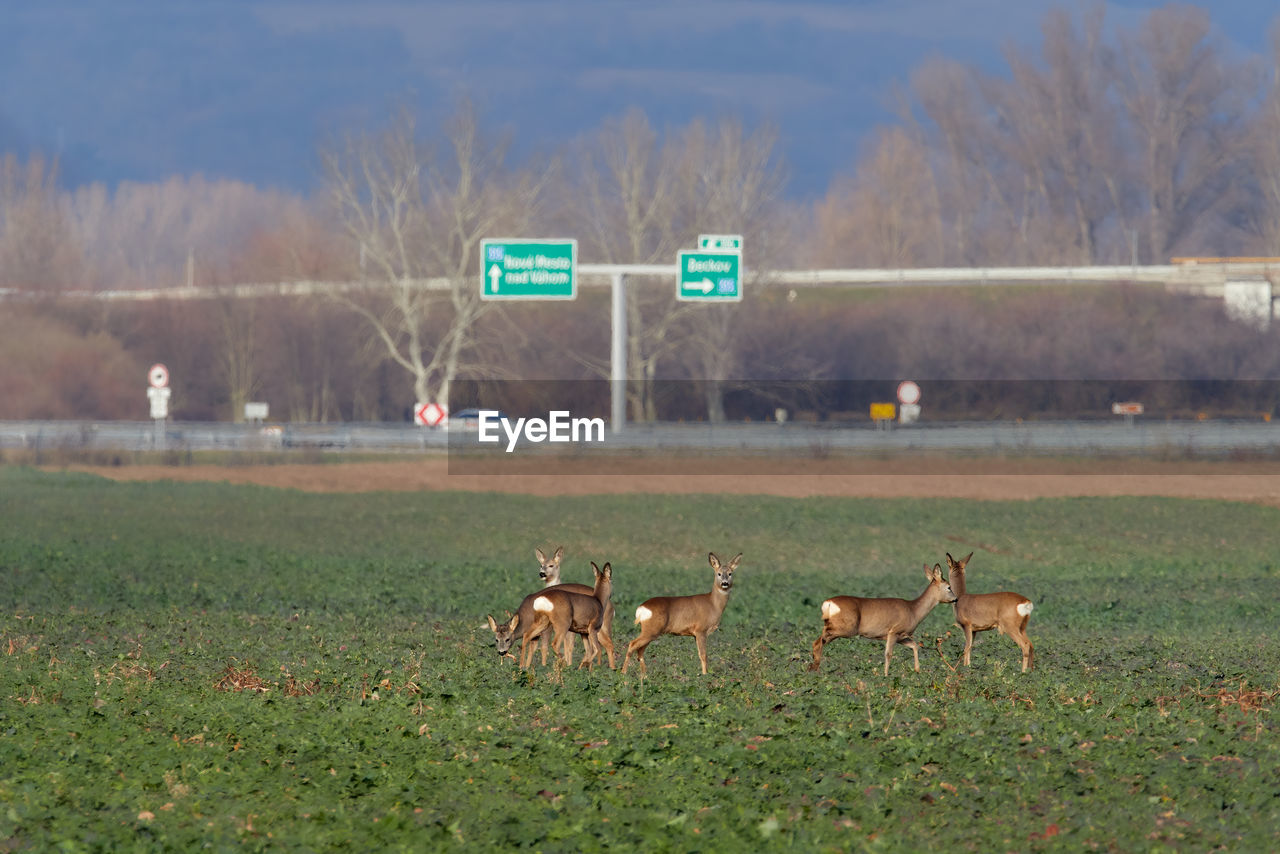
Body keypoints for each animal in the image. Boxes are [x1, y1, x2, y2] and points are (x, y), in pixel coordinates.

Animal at [803, 563, 957, 676]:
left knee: (818, 642)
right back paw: (814, 668)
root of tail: (828, 603)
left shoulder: (901, 636)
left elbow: (914, 646)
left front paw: (917, 670)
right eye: (949, 587)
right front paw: (886, 675)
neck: (913, 610)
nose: (956, 599)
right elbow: (888, 654)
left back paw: (813, 669)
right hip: (845, 628)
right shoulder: (894, 631)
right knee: (818, 642)